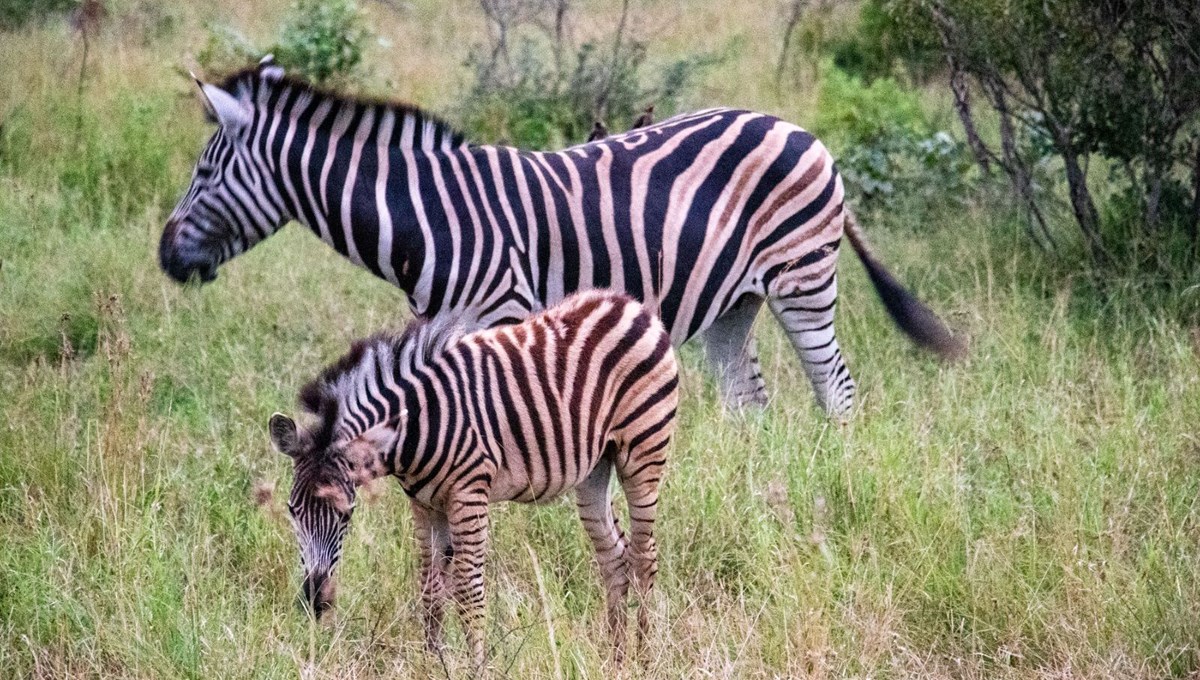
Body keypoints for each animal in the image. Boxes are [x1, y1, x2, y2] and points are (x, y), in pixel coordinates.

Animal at [162, 57, 964, 414]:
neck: (428, 216)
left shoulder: (507, 316)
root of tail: (803, 131)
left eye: (204, 171)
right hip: (734, 302)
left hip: (803, 276)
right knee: (750, 402)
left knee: (837, 387)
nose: (166, 256)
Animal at [272, 290, 681, 666]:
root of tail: (625, 301)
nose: (314, 601)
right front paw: (432, 663)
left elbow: (469, 590)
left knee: (644, 555)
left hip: (644, 450)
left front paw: (476, 666)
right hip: (596, 467)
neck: (415, 426)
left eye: (346, 514)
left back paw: (645, 658)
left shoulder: (469, 494)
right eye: (292, 511)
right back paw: (615, 658)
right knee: (615, 555)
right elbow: (429, 588)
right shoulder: (423, 504)